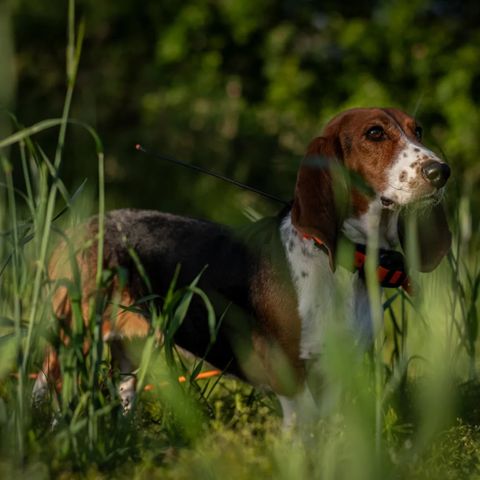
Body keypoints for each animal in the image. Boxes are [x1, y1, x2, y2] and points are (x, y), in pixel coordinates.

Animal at [32, 108, 450, 424]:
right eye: (375, 133)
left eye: (418, 130)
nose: (440, 171)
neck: (344, 262)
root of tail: (82, 227)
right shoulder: (290, 378)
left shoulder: (336, 374)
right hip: (70, 342)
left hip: (131, 348)